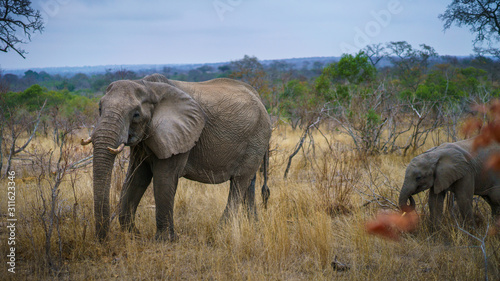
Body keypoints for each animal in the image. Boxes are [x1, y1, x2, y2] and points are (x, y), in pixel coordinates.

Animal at [83, 73, 270, 240]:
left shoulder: (182, 136)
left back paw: (220, 231)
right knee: (249, 183)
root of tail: (261, 100)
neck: (148, 86)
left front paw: (165, 241)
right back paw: (253, 226)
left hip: (256, 138)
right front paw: (133, 235)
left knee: (239, 182)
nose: (103, 240)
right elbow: (137, 178)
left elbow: (163, 178)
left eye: (136, 114)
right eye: (100, 109)